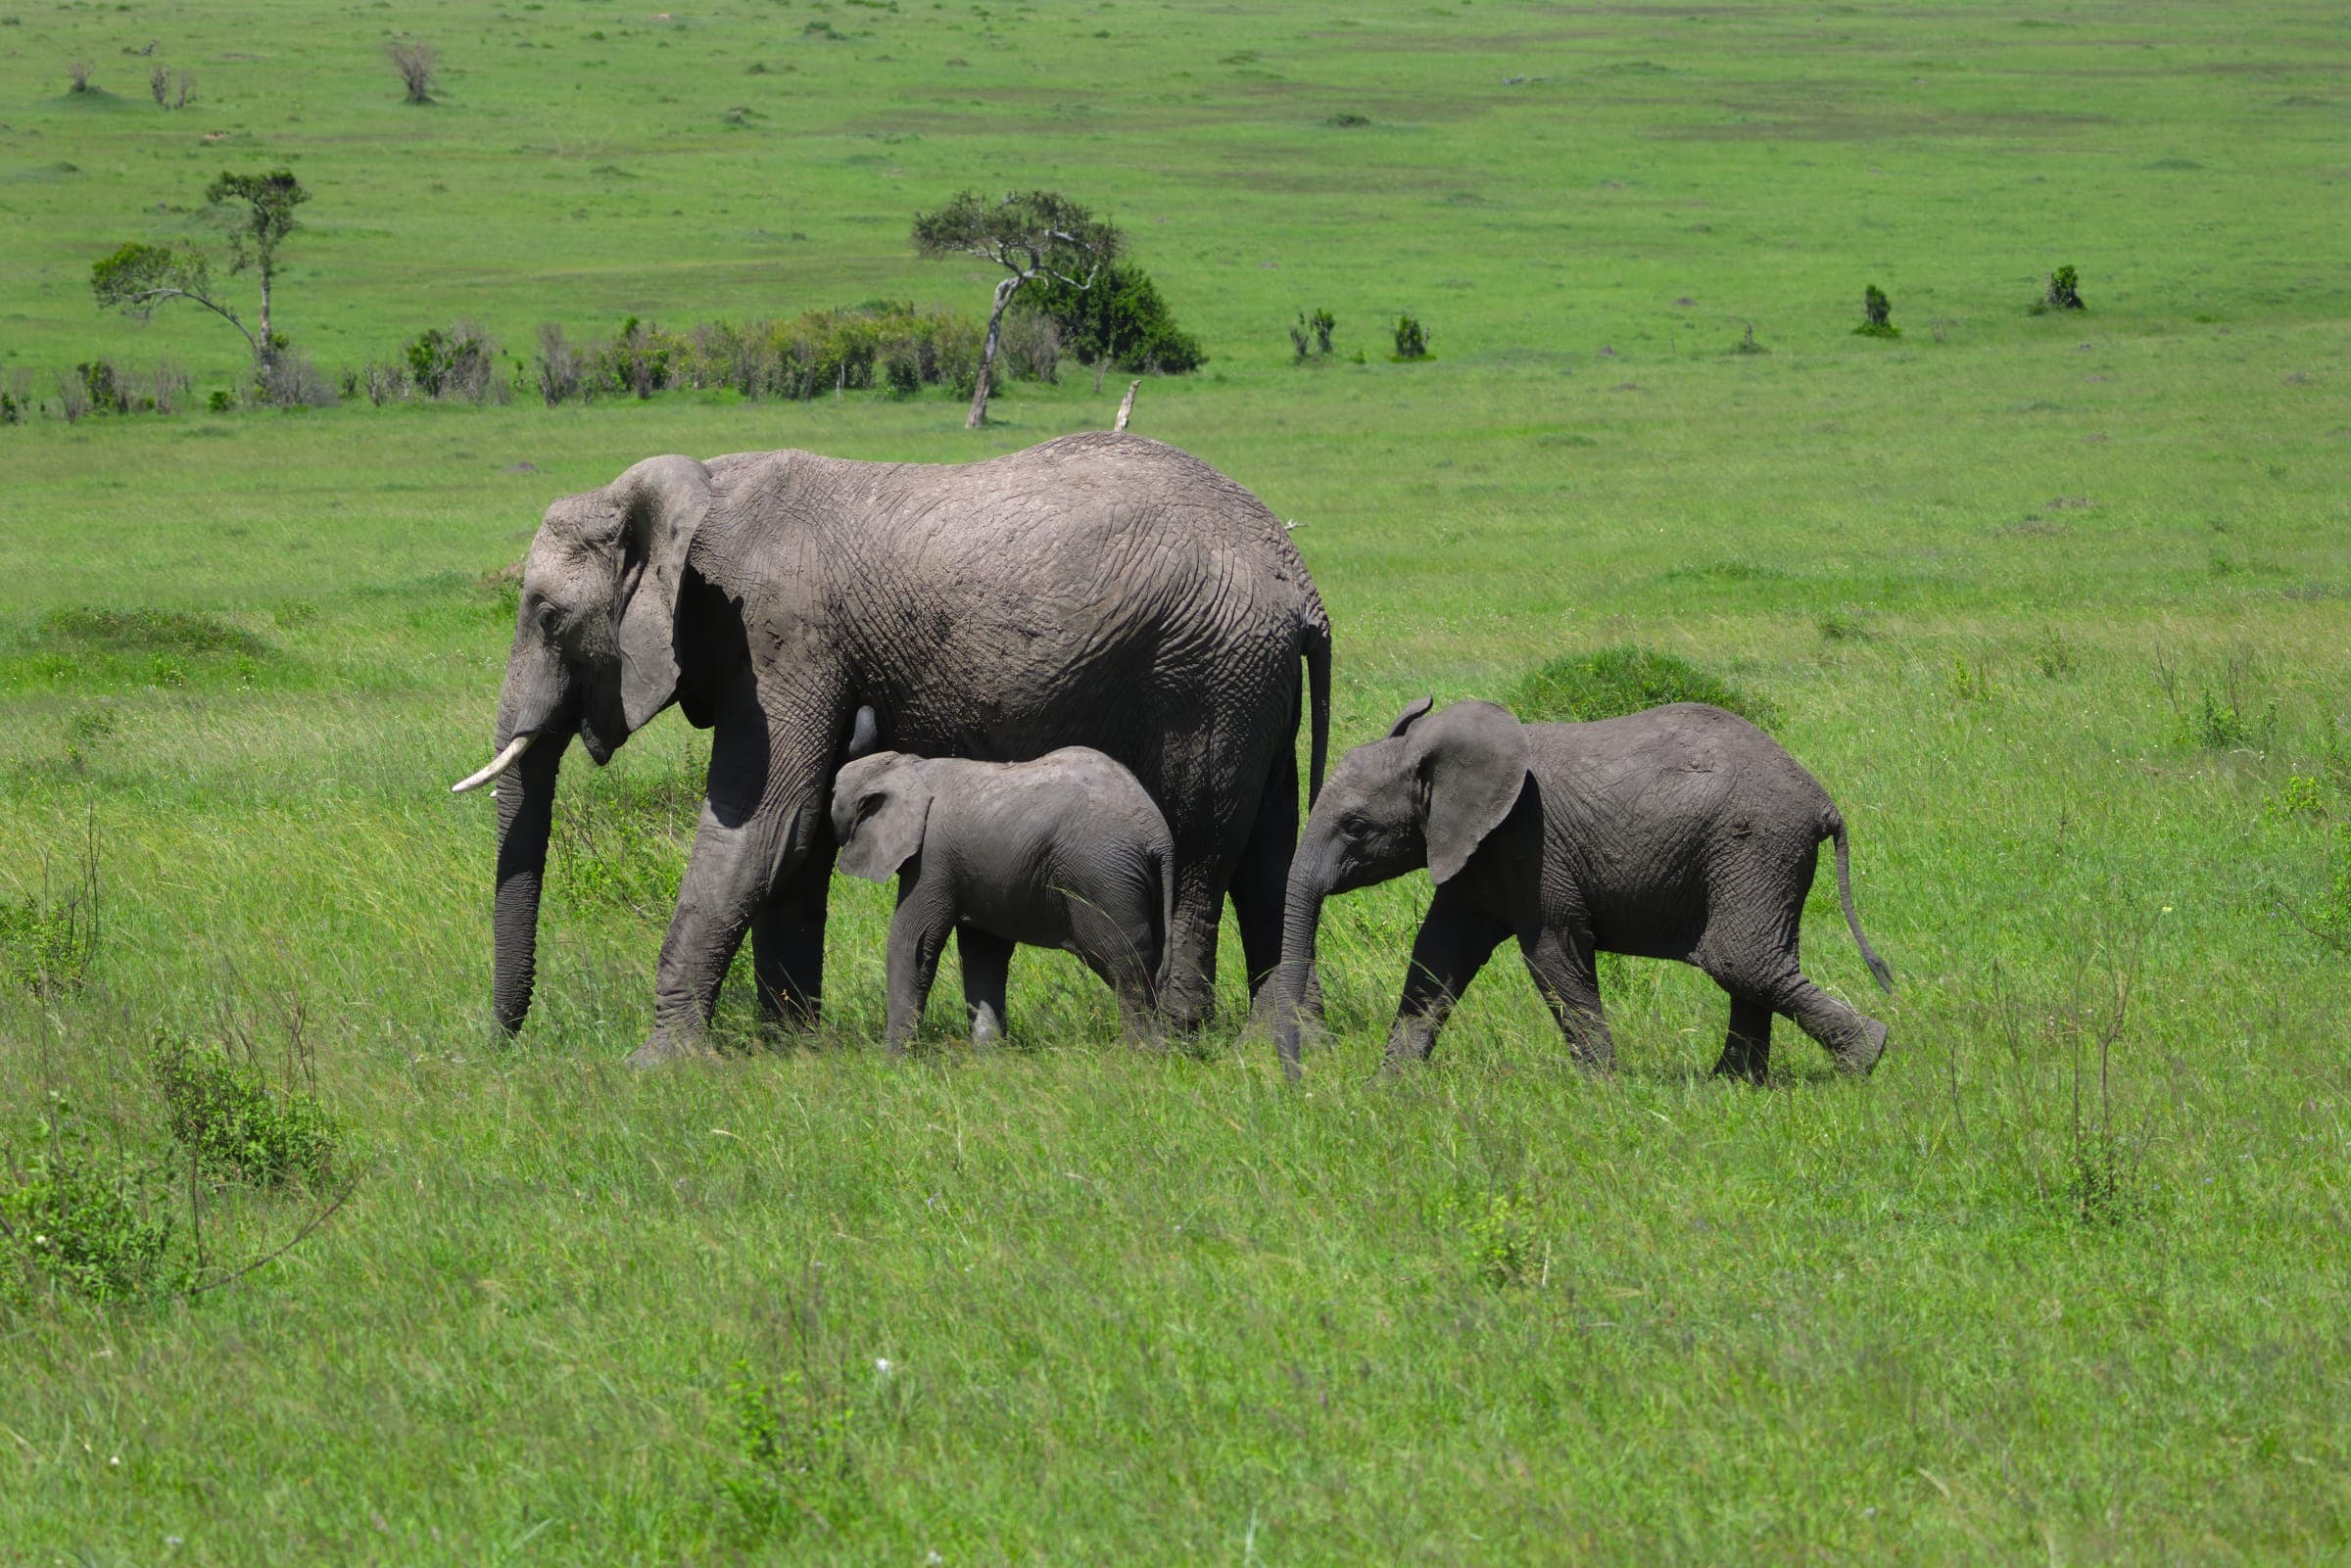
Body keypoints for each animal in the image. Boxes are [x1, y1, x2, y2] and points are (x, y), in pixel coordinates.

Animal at [830, 739, 1176, 1046]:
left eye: (832, 793)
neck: (911, 766)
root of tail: (1158, 836)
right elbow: (984, 954)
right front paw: (990, 1056)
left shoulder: (932, 859)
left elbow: (913, 942)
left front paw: (893, 1059)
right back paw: (1160, 1050)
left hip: (1101, 878)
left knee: (1123, 961)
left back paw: (1139, 1052)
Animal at [1271, 699, 1894, 1082]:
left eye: (1356, 827)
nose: (1298, 1080)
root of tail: (1822, 801)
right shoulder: (1473, 850)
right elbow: (1437, 956)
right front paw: (1386, 1088)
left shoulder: (1530, 844)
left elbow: (1552, 953)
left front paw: (1601, 1089)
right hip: (1762, 854)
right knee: (1752, 965)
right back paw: (1733, 1084)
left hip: (1756, 846)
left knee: (1741, 960)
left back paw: (1866, 1059)